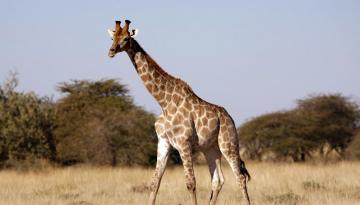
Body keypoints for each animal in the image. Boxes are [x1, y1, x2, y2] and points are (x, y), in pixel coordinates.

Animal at [107, 19, 250, 205]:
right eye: (112, 38)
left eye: (125, 38)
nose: (111, 51)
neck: (163, 101)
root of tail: (229, 118)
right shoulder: (163, 142)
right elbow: (155, 183)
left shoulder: (183, 143)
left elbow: (191, 183)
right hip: (210, 148)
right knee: (218, 180)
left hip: (228, 143)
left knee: (240, 177)